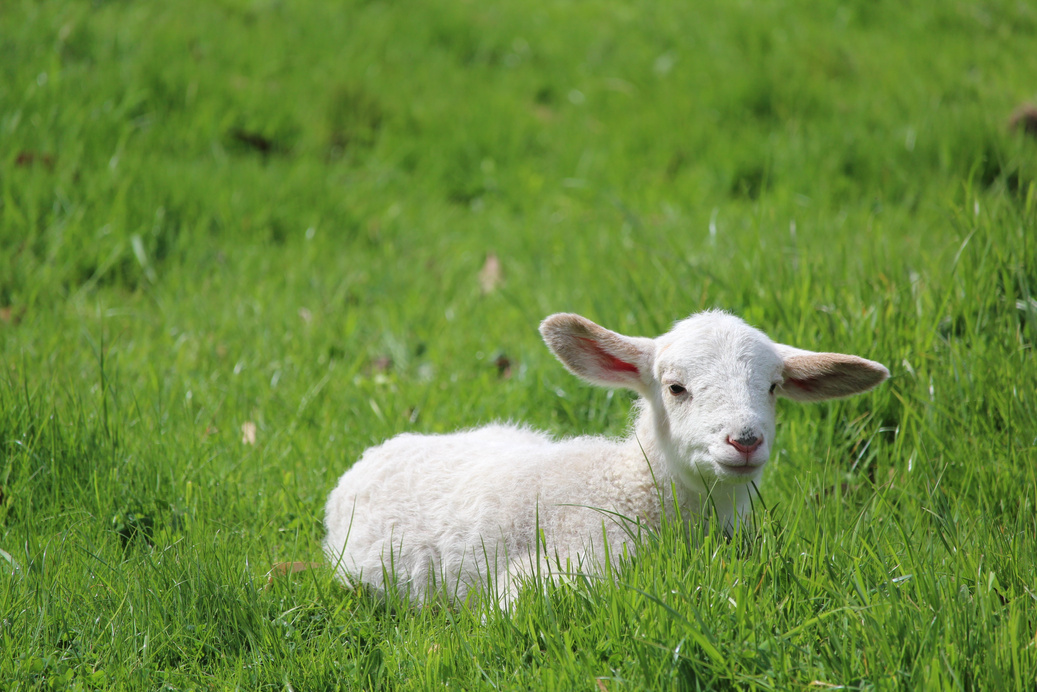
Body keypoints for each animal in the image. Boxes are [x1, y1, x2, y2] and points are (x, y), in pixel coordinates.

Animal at [323, 311, 891, 610]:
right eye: (675, 387)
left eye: (773, 387)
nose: (745, 440)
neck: (630, 490)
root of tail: (375, 452)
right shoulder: (553, 571)